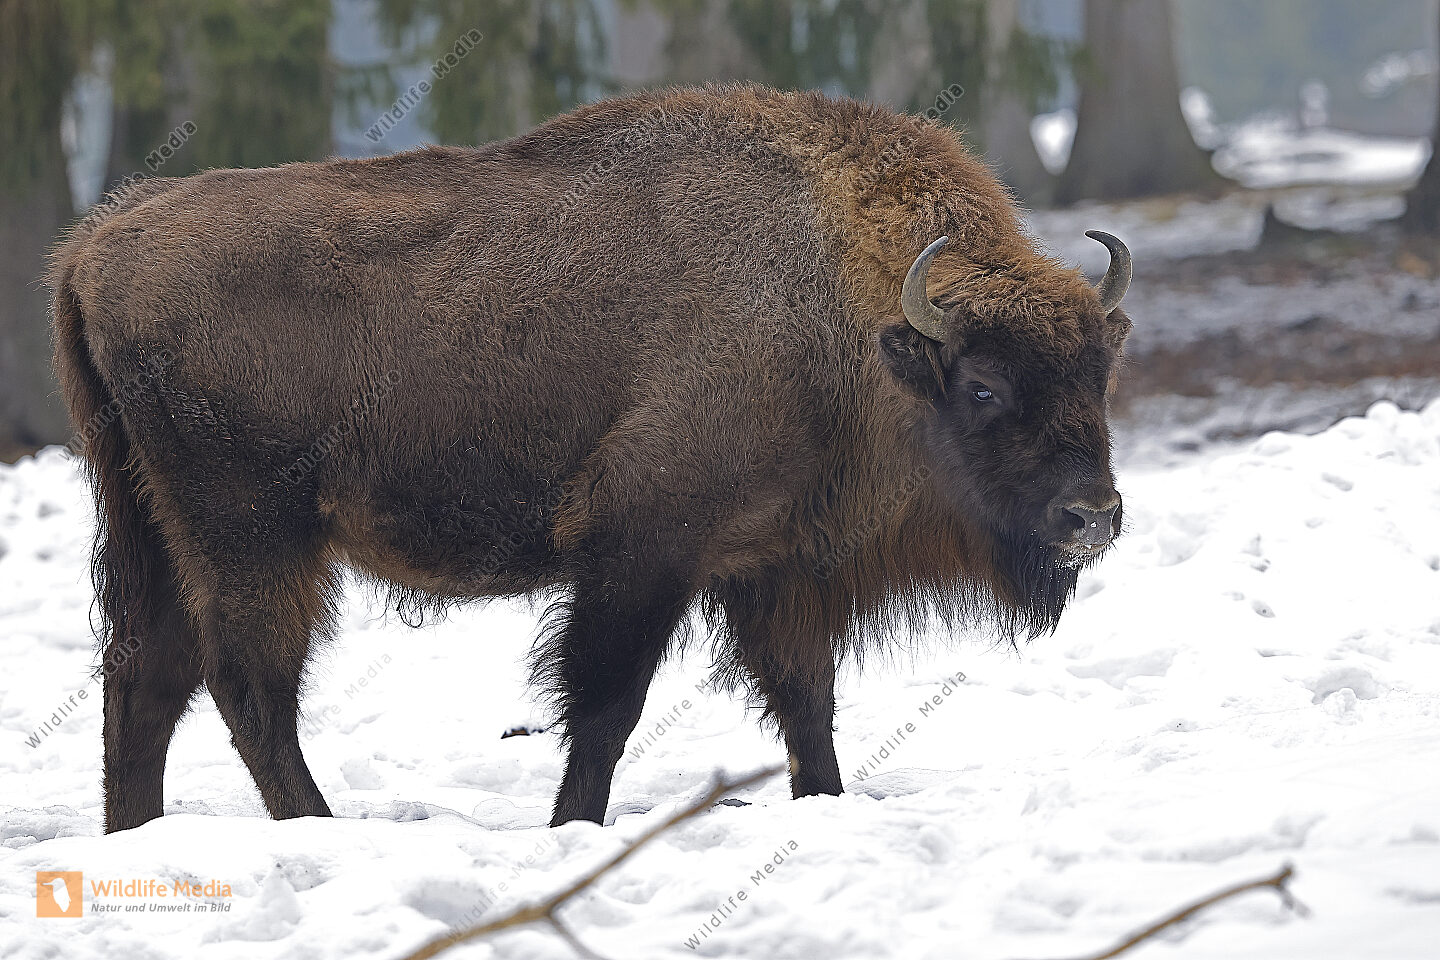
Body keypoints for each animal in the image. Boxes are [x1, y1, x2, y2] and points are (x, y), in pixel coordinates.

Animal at [49, 84, 1131, 834]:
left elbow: (807, 705)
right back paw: (317, 828)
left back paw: (134, 839)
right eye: (983, 387)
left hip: (153, 526)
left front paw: (821, 804)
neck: (840, 303)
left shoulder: (775, 568)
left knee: (145, 679)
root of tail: (100, 238)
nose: (1093, 516)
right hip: (255, 535)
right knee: (247, 687)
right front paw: (572, 827)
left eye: (1099, 373)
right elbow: (607, 705)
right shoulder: (643, 549)